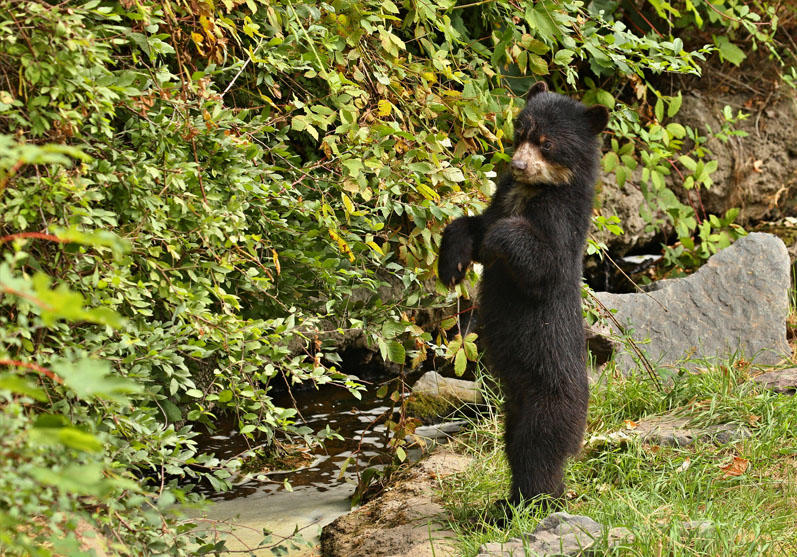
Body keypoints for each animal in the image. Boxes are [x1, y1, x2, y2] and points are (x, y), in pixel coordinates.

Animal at [438, 81, 608, 504]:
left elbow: (539, 261)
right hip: (513, 407)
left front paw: (499, 238)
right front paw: (452, 266)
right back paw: (509, 500)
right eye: (520, 132)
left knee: (537, 452)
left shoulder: (561, 221)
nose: (516, 166)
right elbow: (473, 226)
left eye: (546, 143)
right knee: (515, 447)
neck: (534, 189)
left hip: (546, 406)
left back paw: (532, 502)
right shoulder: (502, 197)